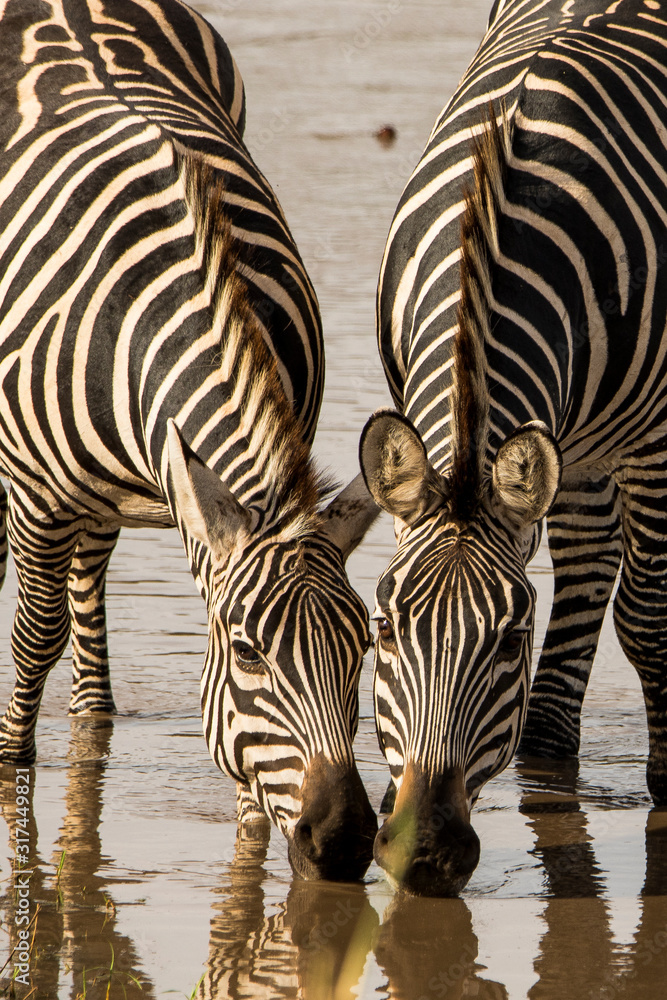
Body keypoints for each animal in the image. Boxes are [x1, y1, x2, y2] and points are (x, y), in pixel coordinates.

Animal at [0, 0, 380, 881]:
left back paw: (96, 717)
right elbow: (34, 642)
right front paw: (12, 769)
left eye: (362, 649)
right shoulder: (38, 498)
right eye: (248, 654)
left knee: (92, 578)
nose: (344, 842)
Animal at [358, 0, 667, 895]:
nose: (421, 853)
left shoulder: (650, 439)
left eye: (507, 640)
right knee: (590, 554)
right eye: (383, 628)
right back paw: (547, 753)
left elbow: (647, 619)